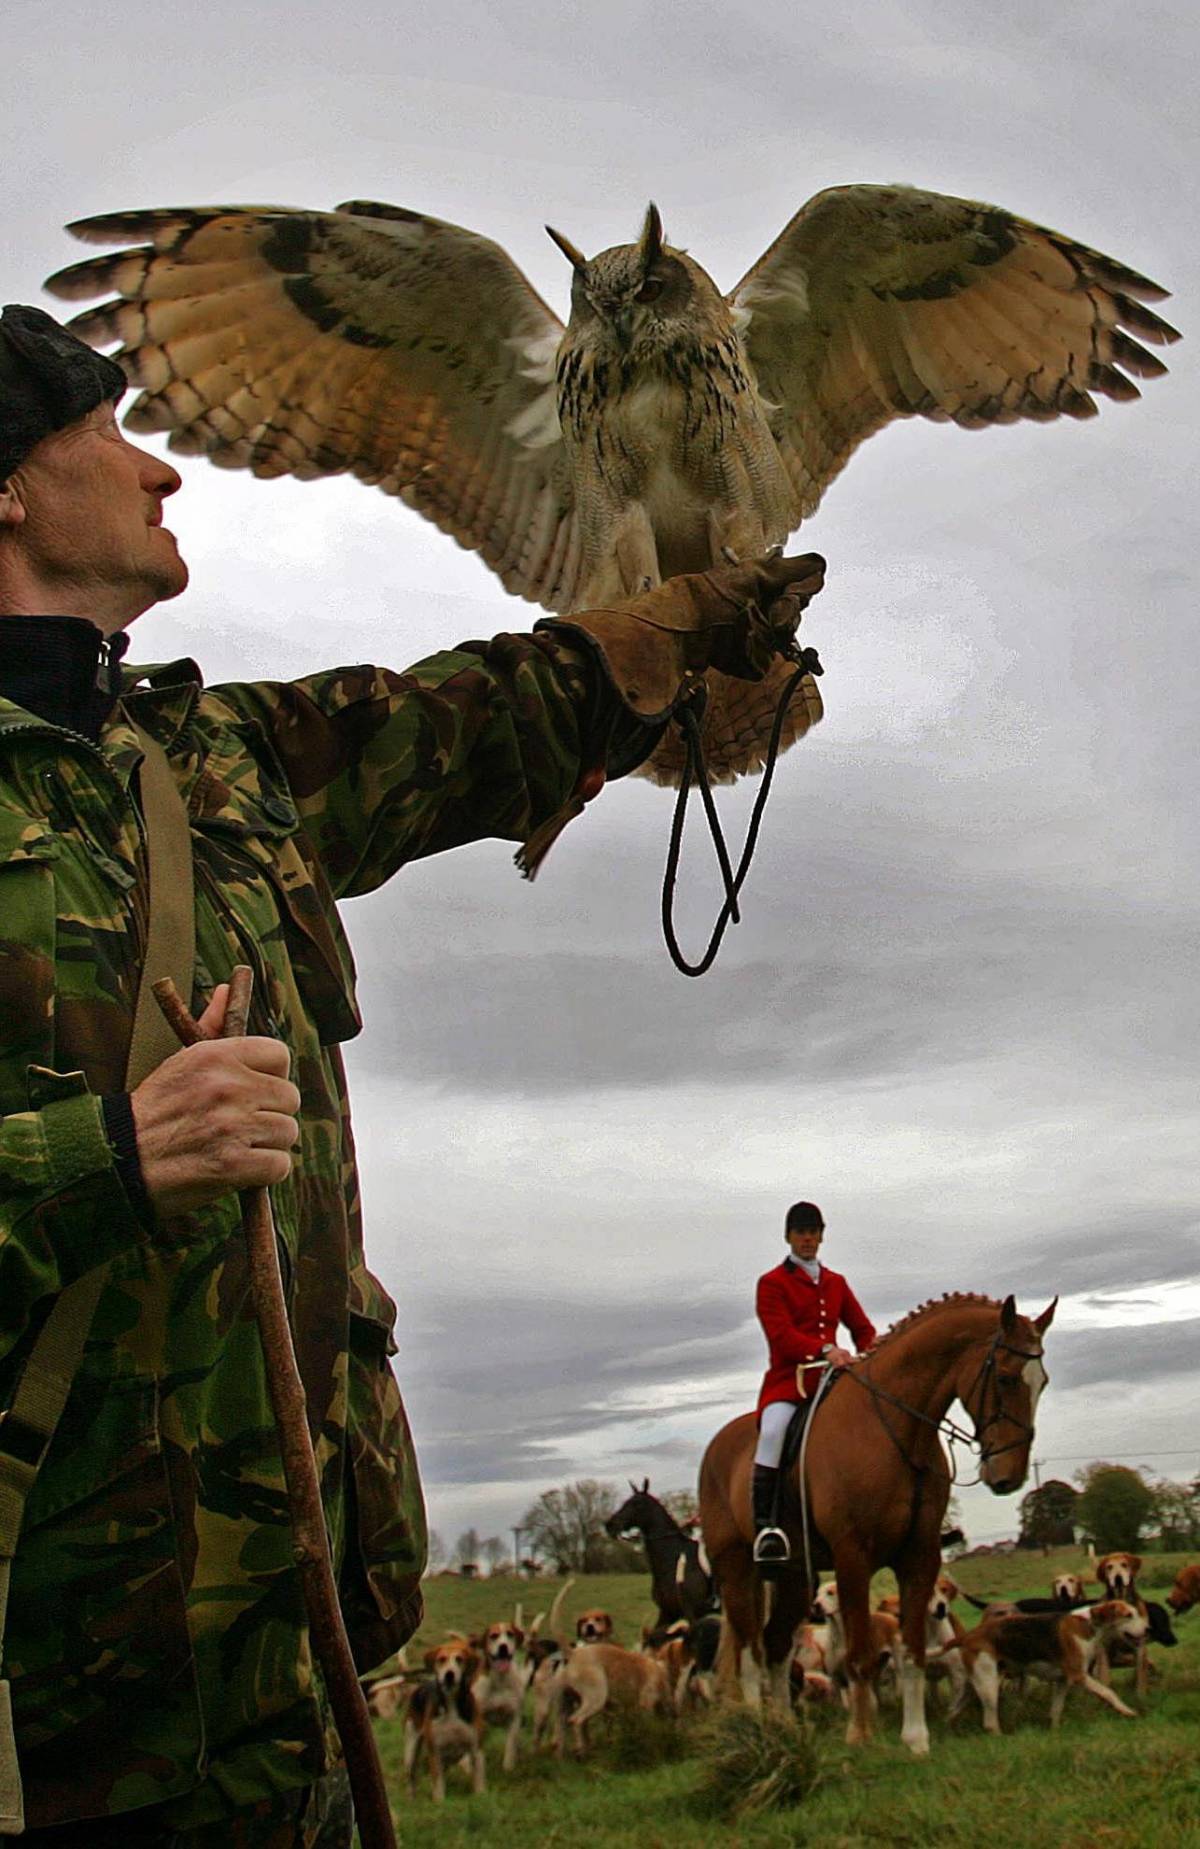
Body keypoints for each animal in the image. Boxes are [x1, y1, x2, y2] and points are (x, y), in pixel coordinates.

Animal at [602, 1471, 717, 1619]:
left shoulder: (692, 1613)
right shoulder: (667, 1613)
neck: (672, 1560)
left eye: (637, 1504)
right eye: (625, 1502)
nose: (609, 1525)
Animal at [698, 1294, 1050, 1752]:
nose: (1008, 1477)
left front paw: (916, 1739)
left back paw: (786, 1726)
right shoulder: (853, 1558)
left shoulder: (919, 1556)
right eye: (1006, 1378)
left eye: (1042, 1383)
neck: (898, 1430)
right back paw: (764, 1730)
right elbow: (860, 1658)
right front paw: (860, 1734)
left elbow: (913, 1652)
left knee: (774, 1645)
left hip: (794, 1576)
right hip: (737, 1572)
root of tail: (717, 1445)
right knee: (749, 1655)